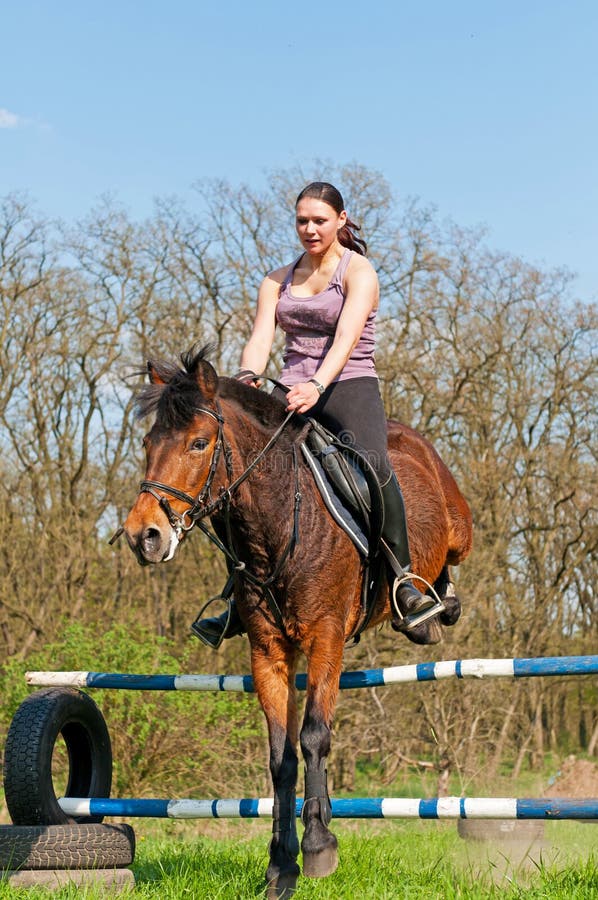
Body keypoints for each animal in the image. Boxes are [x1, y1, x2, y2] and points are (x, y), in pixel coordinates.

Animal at [121, 345, 473, 899]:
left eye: (199, 443)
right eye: (148, 443)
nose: (144, 536)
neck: (276, 523)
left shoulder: (326, 637)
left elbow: (313, 736)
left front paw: (318, 847)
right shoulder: (268, 650)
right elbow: (281, 756)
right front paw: (281, 865)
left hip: (457, 528)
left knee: (449, 562)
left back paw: (426, 604)